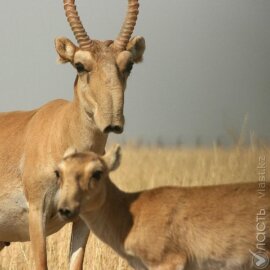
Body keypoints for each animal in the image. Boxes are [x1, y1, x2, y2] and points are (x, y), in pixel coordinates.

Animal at [0, 1, 146, 268]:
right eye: (79, 65)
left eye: (128, 65)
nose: (112, 121)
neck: (61, 129)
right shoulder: (37, 214)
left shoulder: (81, 220)